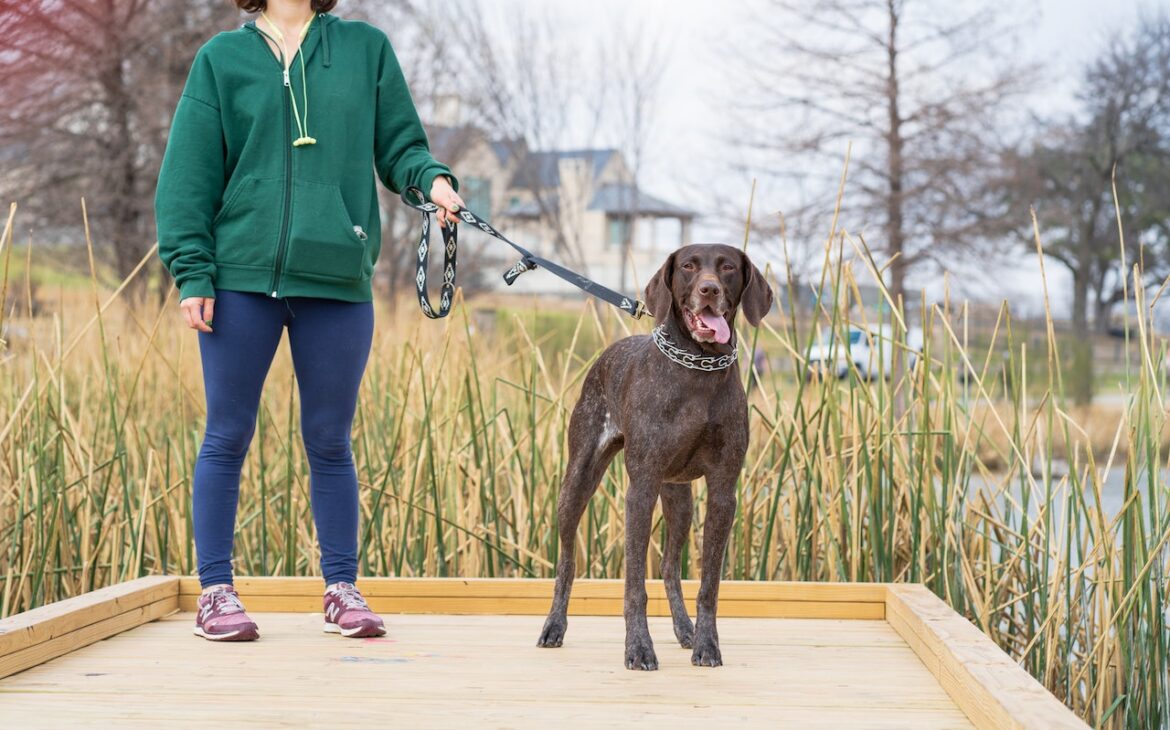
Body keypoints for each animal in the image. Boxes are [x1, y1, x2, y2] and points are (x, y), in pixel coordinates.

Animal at [538, 243, 776, 669]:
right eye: (689, 266)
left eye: (728, 267)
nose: (709, 290)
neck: (698, 367)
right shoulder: (642, 487)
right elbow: (634, 585)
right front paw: (638, 648)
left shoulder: (723, 491)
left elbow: (709, 586)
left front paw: (706, 644)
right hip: (578, 480)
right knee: (567, 559)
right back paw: (554, 626)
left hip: (679, 498)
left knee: (668, 565)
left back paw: (685, 629)